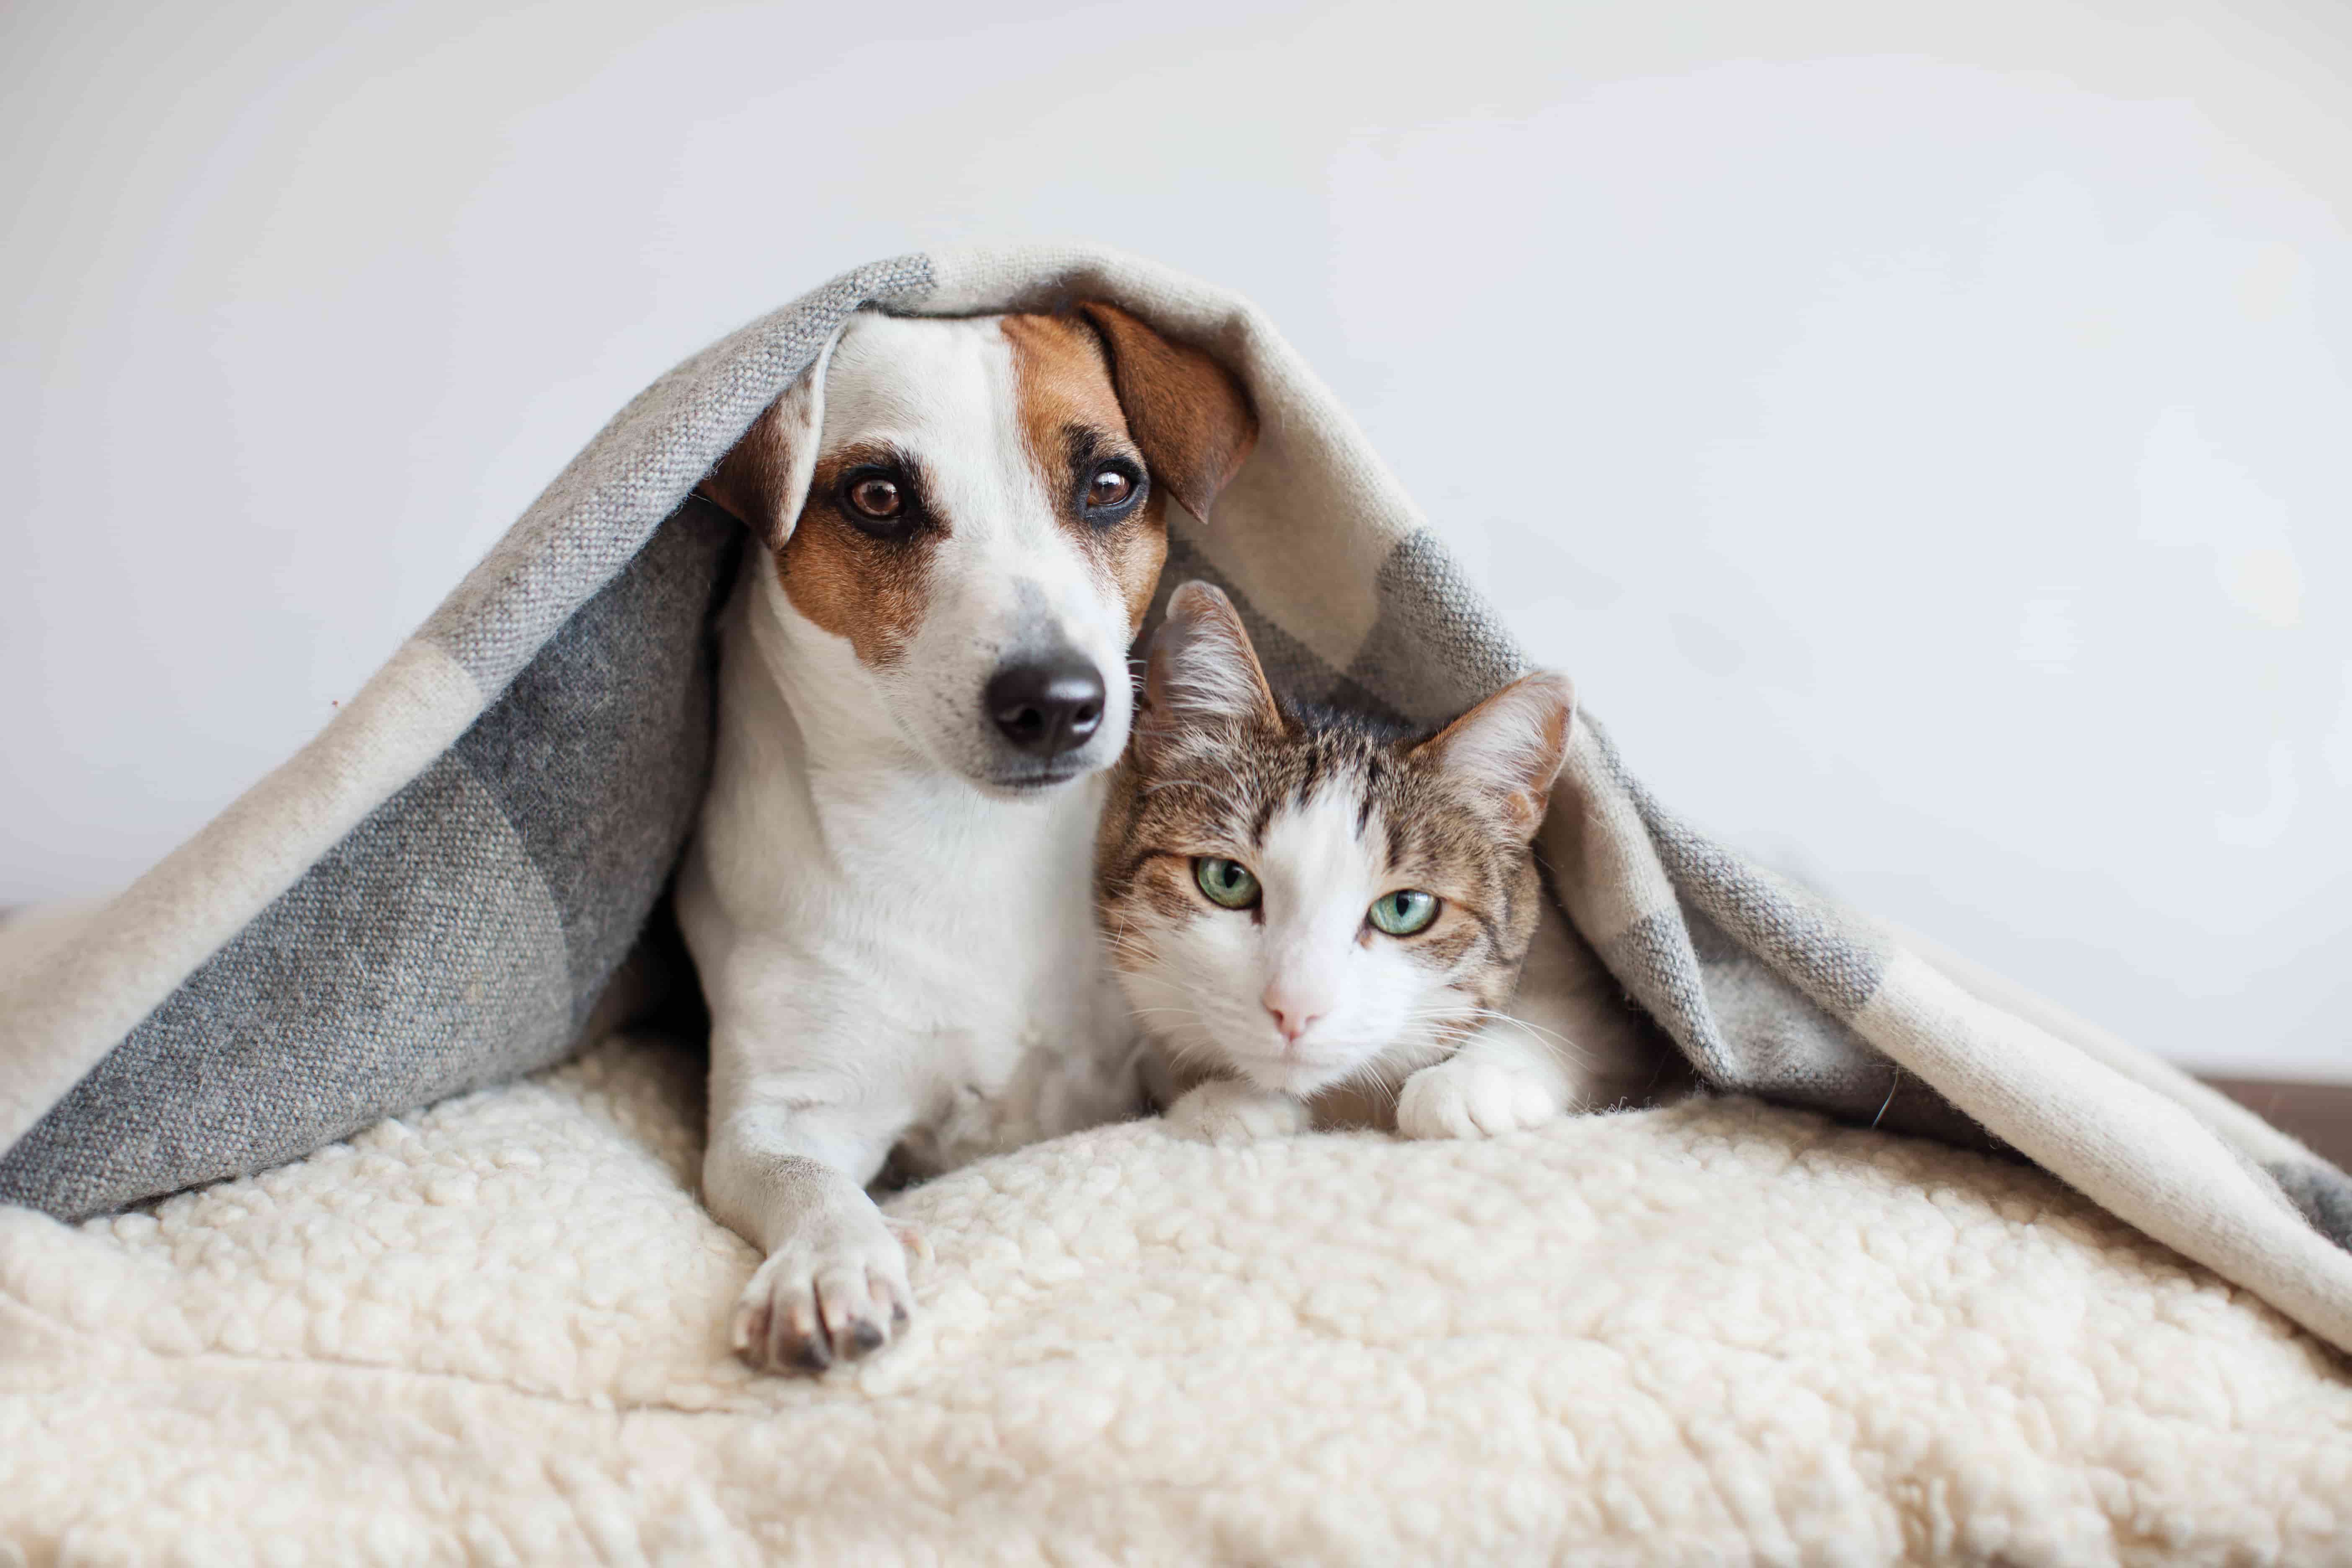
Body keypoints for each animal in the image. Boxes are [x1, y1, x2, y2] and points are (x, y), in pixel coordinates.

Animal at [677, 297, 1251, 1373]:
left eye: (1110, 485)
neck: (968, 840)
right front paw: (830, 1263)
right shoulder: (778, 1112)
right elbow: (803, 1181)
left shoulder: (1158, 1047)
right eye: (877, 496)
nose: (1056, 701)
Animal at [1101, 583, 1674, 1147]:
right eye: (1227, 879)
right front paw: (1225, 1100)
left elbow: (1574, 1022)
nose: (1295, 1008)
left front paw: (1473, 1080)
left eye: (1405, 908)